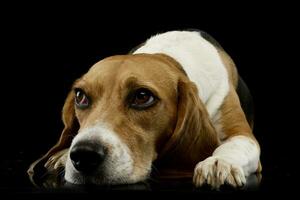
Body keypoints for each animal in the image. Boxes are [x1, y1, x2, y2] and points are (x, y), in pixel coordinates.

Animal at [29, 30, 262, 189]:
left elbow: (234, 146)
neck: (169, 54)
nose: (84, 155)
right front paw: (63, 155)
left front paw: (218, 162)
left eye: (142, 96)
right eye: (80, 96)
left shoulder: (243, 134)